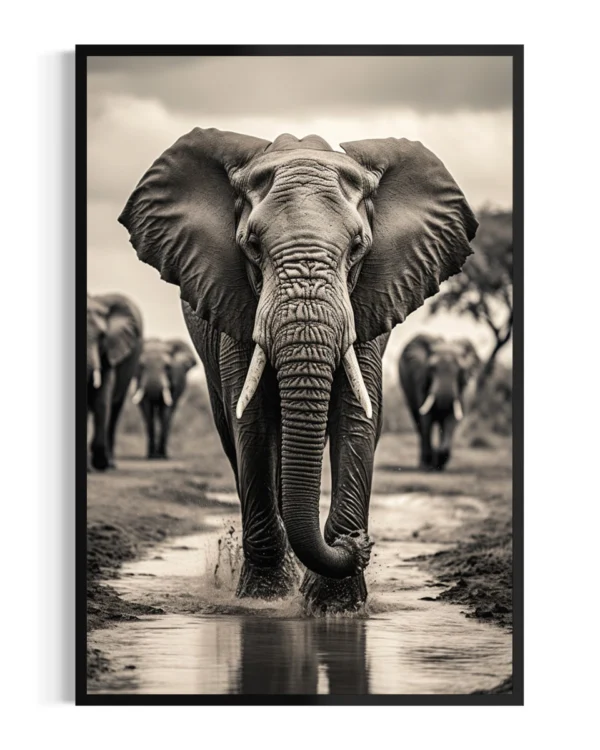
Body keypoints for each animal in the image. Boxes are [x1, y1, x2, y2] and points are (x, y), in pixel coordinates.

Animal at [87, 293, 143, 470]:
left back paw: (110, 464)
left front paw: (100, 463)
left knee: (114, 410)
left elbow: (102, 401)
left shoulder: (109, 351)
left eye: (102, 336)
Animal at [399, 334, 480, 470]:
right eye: (432, 368)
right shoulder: (422, 380)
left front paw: (439, 459)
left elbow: (452, 419)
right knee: (418, 422)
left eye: (461, 370)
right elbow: (426, 418)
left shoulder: (460, 391)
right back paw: (423, 464)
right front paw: (429, 464)